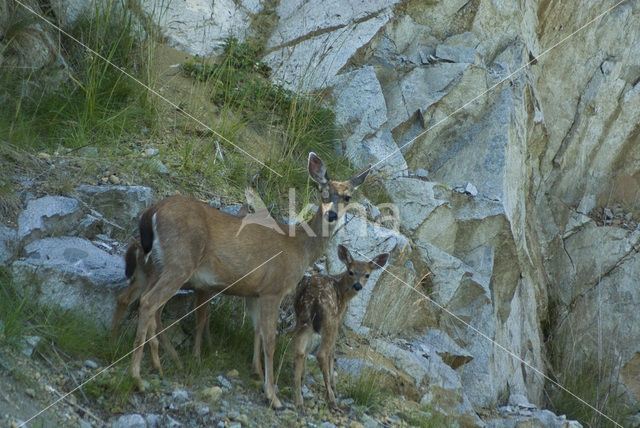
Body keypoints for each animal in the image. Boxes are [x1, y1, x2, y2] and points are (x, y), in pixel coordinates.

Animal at [130, 152, 370, 406]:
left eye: (347, 196)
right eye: (322, 191)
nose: (331, 214)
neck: (300, 247)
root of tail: (152, 212)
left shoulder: (255, 292)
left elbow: (257, 331)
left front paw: (257, 372)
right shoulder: (273, 288)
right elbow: (270, 340)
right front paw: (272, 396)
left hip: (160, 266)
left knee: (152, 306)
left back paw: (161, 363)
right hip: (180, 261)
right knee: (148, 302)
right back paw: (137, 375)